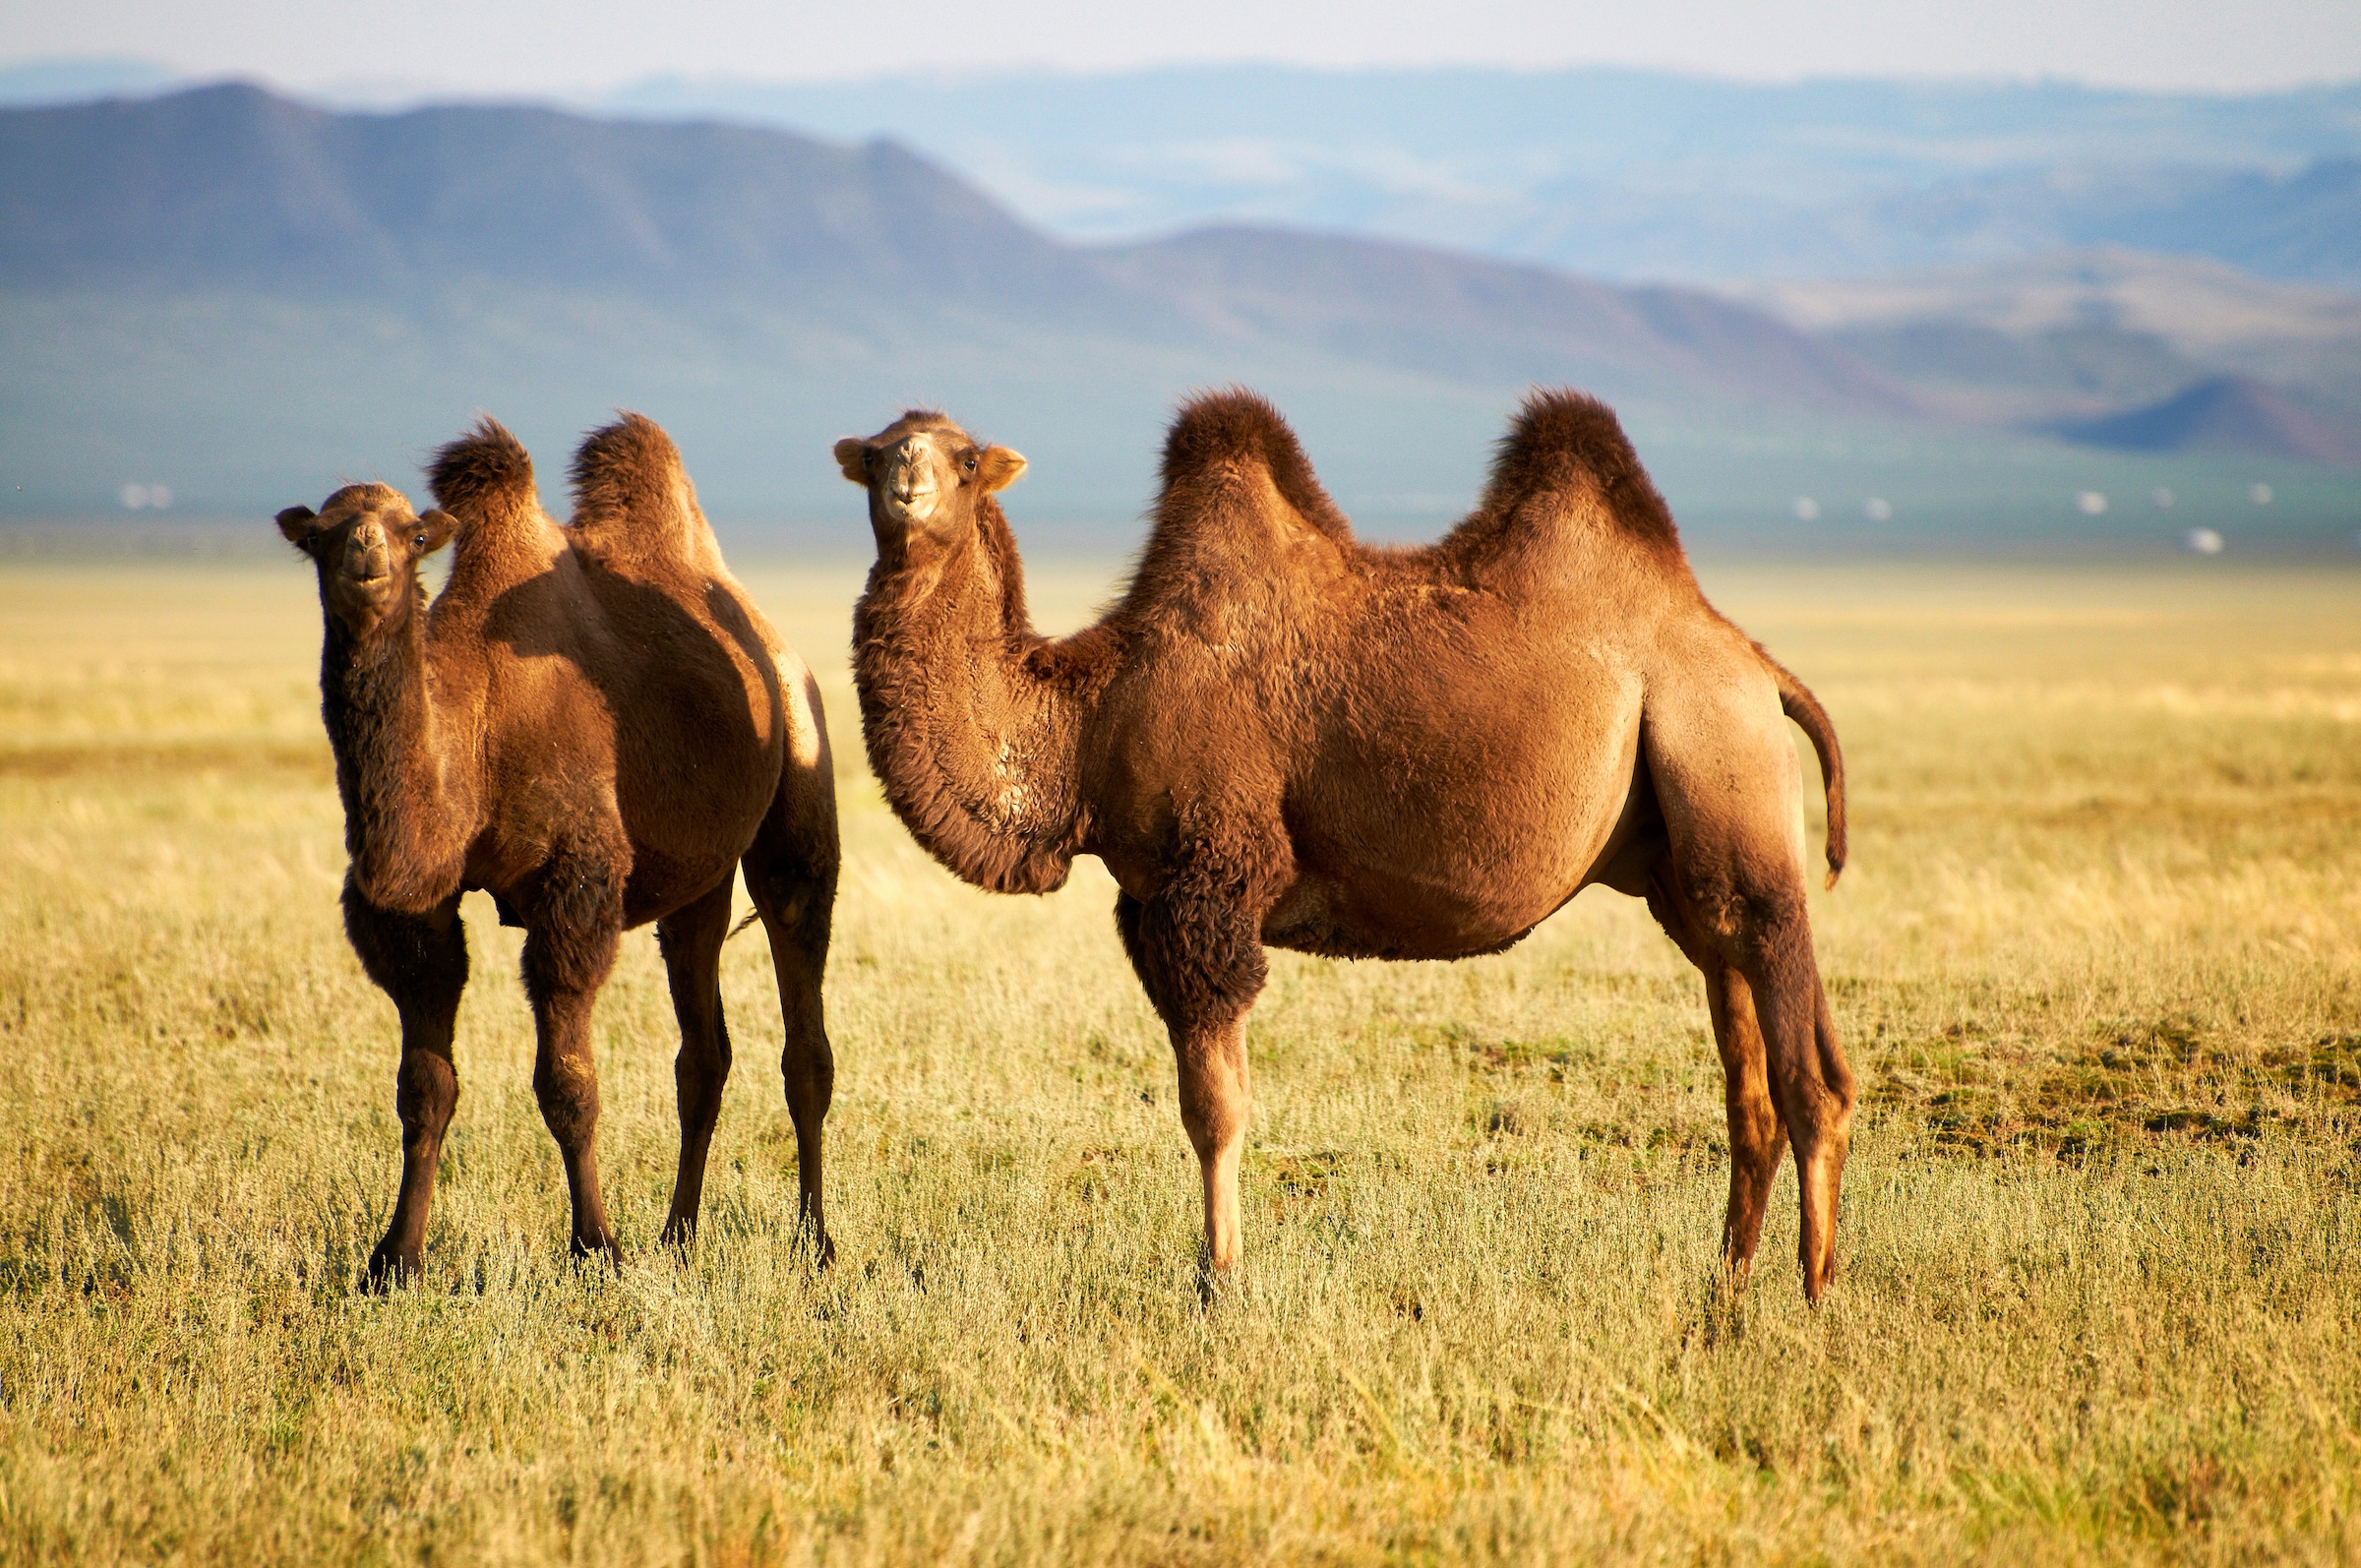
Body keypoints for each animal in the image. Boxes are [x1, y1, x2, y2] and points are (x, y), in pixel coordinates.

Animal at [277, 413, 839, 1286]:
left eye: (412, 533)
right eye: (320, 535)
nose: (364, 553)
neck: (473, 725)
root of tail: (772, 643)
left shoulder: (575, 886)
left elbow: (568, 1085)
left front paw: (596, 1248)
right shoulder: (417, 910)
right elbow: (424, 1086)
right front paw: (394, 1258)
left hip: (800, 779)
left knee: (803, 1024)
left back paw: (813, 1243)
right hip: (698, 877)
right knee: (702, 1054)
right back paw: (678, 1238)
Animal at [834, 388, 1858, 1299]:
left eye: (967, 458)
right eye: (878, 450)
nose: (909, 481)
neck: (1090, 720)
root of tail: (1757, 664)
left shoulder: (1207, 888)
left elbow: (1214, 1109)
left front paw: (1220, 1280)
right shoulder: (1147, 902)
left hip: (1722, 759)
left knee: (1809, 1074)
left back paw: (1811, 1298)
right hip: (1680, 863)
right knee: (1748, 1071)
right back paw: (1726, 1286)